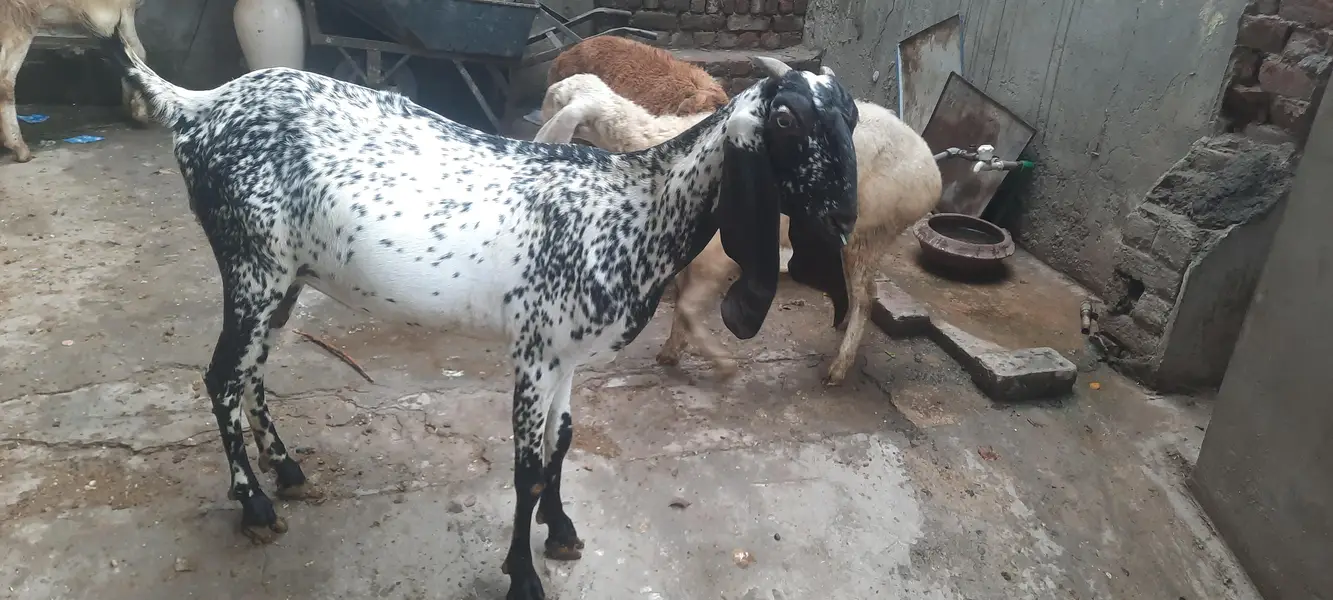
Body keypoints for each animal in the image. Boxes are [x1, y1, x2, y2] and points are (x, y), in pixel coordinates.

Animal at [0, 0, 149, 162]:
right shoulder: (120, 10)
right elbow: (137, 53)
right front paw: (140, 112)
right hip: (21, 15)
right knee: (6, 77)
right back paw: (19, 148)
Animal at [536, 73, 942, 384]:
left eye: (553, 100)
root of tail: (932, 173)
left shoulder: (715, 256)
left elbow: (687, 308)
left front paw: (722, 364)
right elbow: (681, 303)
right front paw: (672, 351)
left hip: (868, 231)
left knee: (865, 297)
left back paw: (839, 367)